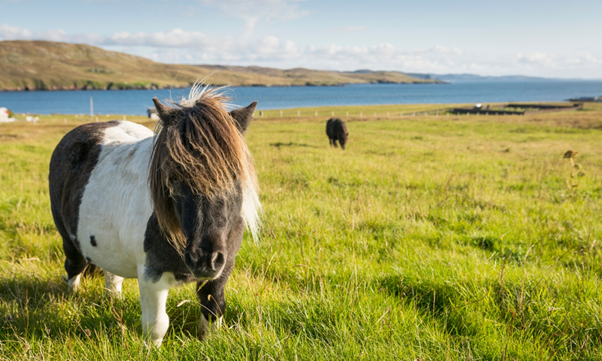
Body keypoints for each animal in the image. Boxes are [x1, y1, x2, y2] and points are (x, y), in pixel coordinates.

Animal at [48, 86, 258, 344]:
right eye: (173, 176)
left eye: (234, 175)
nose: (204, 259)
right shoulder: (152, 275)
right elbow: (156, 325)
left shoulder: (222, 270)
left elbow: (213, 310)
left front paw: (210, 344)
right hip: (68, 239)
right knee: (74, 267)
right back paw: (73, 298)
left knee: (112, 274)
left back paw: (113, 300)